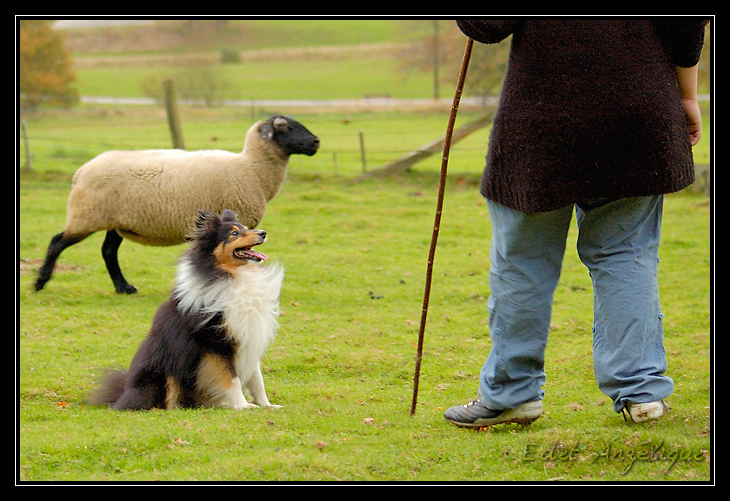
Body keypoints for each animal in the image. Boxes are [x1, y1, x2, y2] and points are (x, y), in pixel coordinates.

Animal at [34, 114, 318, 292]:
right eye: (285, 126)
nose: (316, 142)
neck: (252, 168)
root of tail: (81, 171)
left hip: (115, 221)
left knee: (108, 251)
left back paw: (124, 288)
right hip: (87, 215)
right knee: (57, 242)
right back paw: (40, 282)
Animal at [89, 209, 282, 408]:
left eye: (246, 228)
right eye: (234, 233)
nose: (263, 233)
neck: (233, 276)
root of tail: (123, 395)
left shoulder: (249, 337)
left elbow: (257, 379)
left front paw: (266, 406)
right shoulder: (216, 343)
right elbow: (231, 379)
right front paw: (242, 406)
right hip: (165, 369)